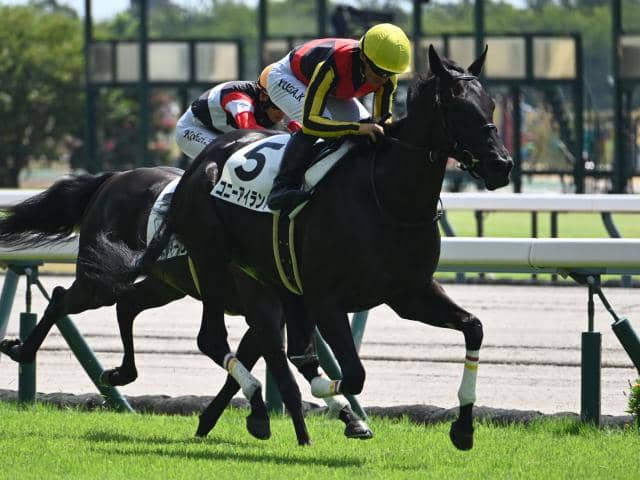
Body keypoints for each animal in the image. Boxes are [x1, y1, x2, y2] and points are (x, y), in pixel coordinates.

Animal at [0, 166, 371, 445]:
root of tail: (114, 177)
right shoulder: (262, 305)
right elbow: (279, 368)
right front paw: (295, 429)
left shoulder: (276, 311)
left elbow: (258, 363)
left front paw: (349, 419)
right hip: (100, 278)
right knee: (62, 297)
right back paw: (20, 350)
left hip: (163, 282)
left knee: (126, 305)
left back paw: (120, 372)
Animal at [94, 45, 513, 450]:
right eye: (457, 107)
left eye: (491, 104)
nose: (501, 165)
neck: (388, 197)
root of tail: (202, 163)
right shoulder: (325, 300)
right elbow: (350, 373)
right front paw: (332, 409)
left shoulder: (409, 292)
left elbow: (473, 328)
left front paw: (463, 429)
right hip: (213, 261)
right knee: (211, 336)